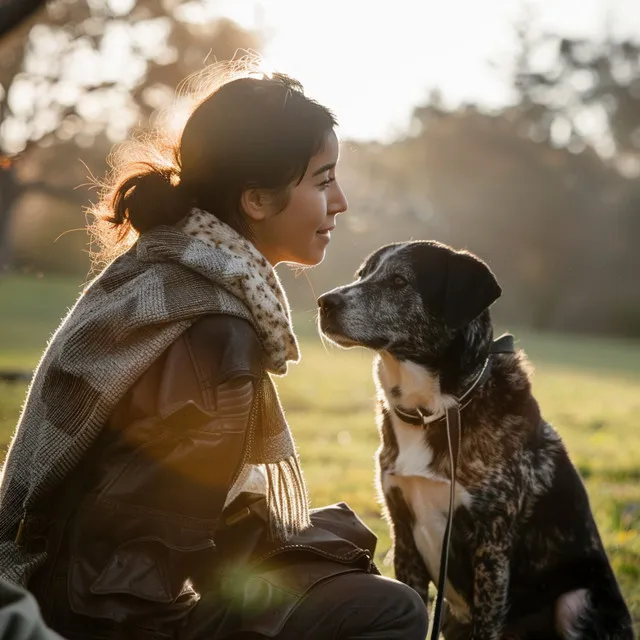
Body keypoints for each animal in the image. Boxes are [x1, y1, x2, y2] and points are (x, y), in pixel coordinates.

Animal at [318, 241, 632, 640]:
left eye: (399, 280)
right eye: (362, 274)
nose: (324, 302)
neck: (439, 408)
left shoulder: (491, 545)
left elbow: (486, 625)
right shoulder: (403, 535)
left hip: (577, 600)